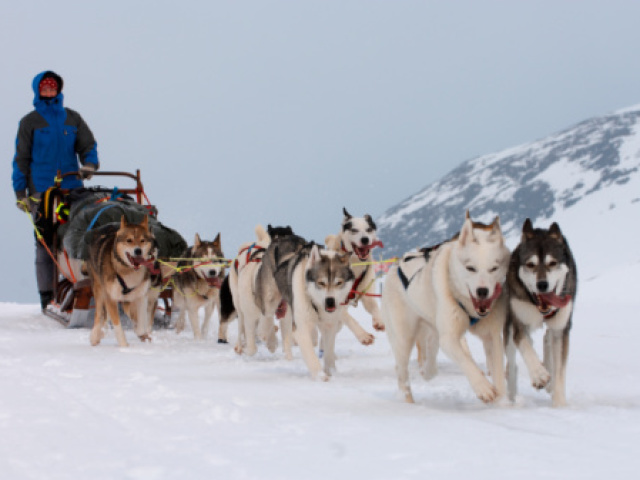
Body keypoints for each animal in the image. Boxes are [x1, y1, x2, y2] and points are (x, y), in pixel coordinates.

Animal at [86, 216, 156, 346]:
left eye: (142, 240)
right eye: (129, 240)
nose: (138, 251)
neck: (128, 270)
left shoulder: (141, 295)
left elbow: (141, 320)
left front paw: (141, 333)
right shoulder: (110, 297)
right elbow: (117, 324)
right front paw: (124, 346)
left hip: (127, 300)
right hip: (99, 289)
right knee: (99, 314)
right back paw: (95, 335)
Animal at [272, 244, 356, 378]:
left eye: (339, 283)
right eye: (321, 283)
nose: (330, 301)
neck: (315, 303)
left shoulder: (329, 325)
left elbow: (328, 351)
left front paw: (330, 371)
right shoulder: (301, 327)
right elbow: (311, 355)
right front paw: (321, 376)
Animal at [328, 208, 382, 344]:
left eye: (369, 229)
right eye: (354, 230)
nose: (365, 239)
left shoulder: (367, 294)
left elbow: (375, 307)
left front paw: (379, 321)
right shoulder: (336, 304)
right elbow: (351, 320)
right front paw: (363, 335)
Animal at [380, 212, 510, 404]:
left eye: (494, 268)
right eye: (470, 268)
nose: (483, 291)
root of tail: (396, 265)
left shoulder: (492, 335)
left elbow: (499, 373)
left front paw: (503, 402)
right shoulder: (449, 337)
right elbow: (466, 361)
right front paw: (483, 387)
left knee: (431, 350)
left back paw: (428, 370)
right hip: (403, 338)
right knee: (402, 371)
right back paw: (409, 400)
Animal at [508, 219, 576, 406]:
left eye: (552, 263)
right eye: (530, 265)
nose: (542, 285)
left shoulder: (561, 328)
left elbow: (559, 370)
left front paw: (559, 404)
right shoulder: (519, 322)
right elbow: (525, 346)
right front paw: (539, 375)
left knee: (547, 338)